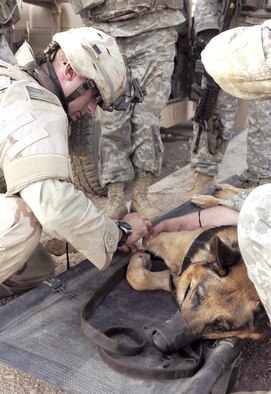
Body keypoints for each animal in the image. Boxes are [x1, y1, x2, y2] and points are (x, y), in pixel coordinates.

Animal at [127, 183, 271, 346]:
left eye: (219, 326)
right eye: (197, 295)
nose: (160, 342)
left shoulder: (176, 280)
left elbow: (138, 278)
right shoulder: (164, 243)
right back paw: (211, 196)